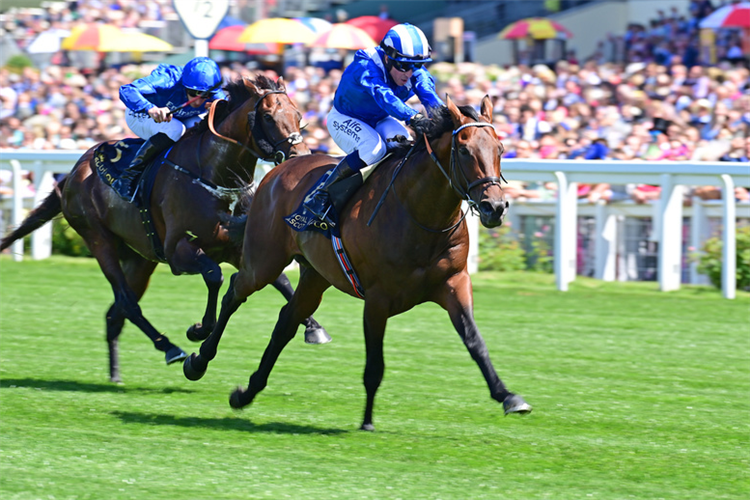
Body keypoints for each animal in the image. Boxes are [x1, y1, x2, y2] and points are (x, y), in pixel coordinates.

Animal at [0, 76, 328, 382]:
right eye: (269, 117)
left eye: (299, 114)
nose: (300, 157)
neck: (213, 175)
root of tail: (72, 172)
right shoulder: (178, 251)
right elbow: (215, 275)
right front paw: (198, 330)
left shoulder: (238, 247)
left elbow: (280, 281)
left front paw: (313, 327)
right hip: (98, 239)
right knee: (127, 303)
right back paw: (169, 348)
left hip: (139, 258)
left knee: (115, 313)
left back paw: (116, 373)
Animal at [184, 95, 532, 432]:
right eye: (463, 149)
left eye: (500, 148)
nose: (494, 207)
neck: (420, 214)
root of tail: (279, 169)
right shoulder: (378, 298)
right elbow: (375, 364)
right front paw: (366, 421)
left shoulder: (454, 282)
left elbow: (475, 341)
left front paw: (509, 396)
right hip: (265, 260)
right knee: (235, 292)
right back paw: (198, 359)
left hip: (316, 276)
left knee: (286, 321)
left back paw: (247, 392)